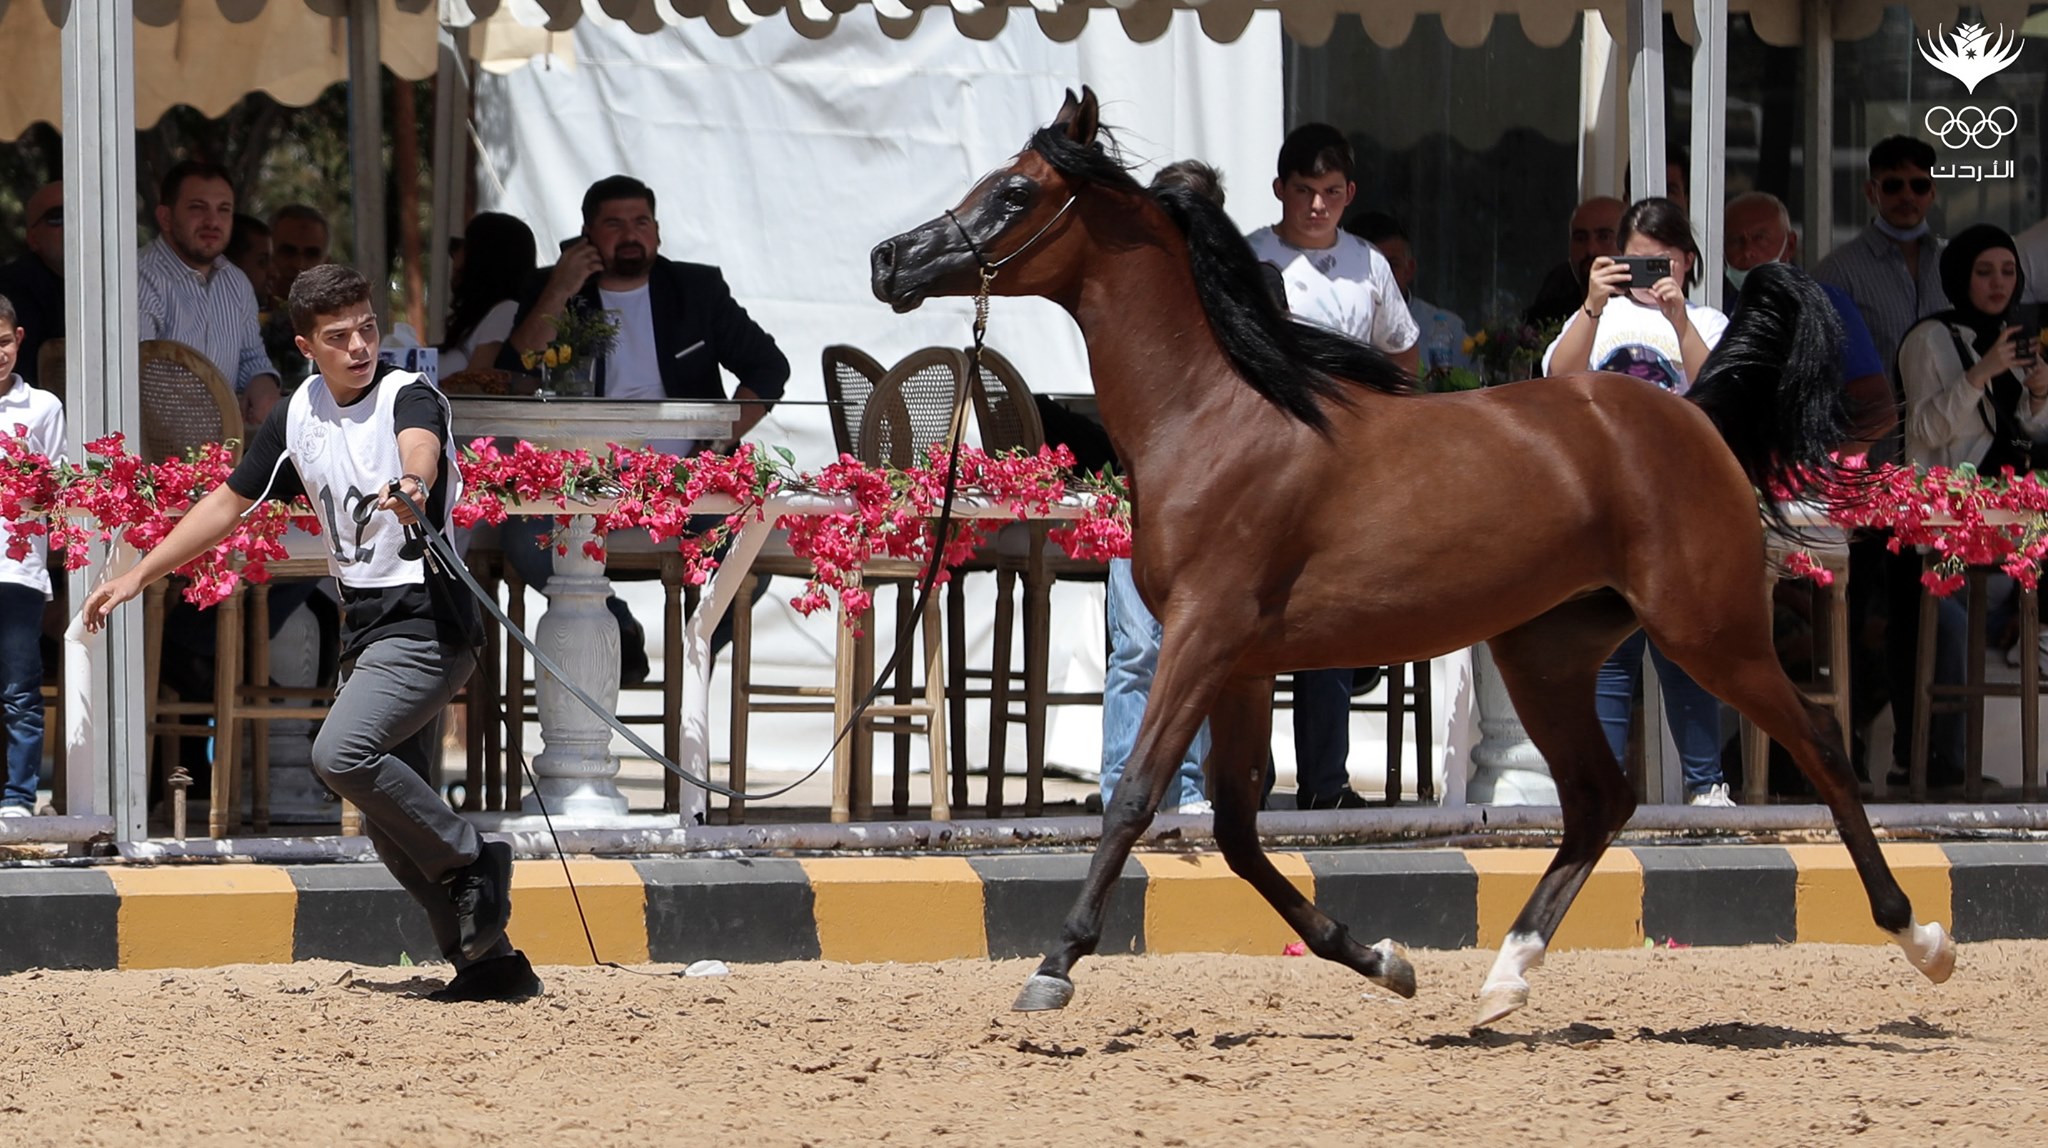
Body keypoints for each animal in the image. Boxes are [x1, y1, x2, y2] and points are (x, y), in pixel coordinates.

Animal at [870, 87, 1955, 1027]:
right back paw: (1506, 976)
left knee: (1821, 741)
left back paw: (1921, 938)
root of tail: (1686, 413)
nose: (890, 258)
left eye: (1015, 192)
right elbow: (1234, 829)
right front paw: (1383, 959)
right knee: (1598, 797)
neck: (1216, 417)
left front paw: (1053, 965)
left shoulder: (1205, 635)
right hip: (1546, 650)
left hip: (1707, 629)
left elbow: (1138, 795)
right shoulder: (1242, 662)